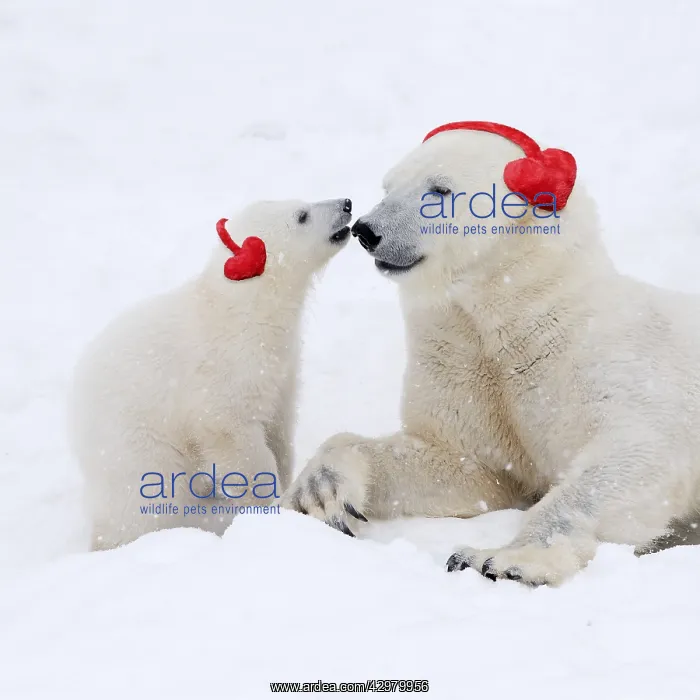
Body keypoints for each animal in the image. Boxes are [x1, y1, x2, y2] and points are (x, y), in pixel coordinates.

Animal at [71, 197, 353, 550]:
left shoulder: (282, 369)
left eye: (303, 202)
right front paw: (266, 503)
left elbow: (279, 424)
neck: (244, 310)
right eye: (302, 216)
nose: (346, 203)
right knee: (145, 495)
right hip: (132, 440)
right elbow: (232, 437)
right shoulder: (225, 372)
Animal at [282, 123, 700, 586]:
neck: (515, 313)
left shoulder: (605, 358)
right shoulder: (462, 365)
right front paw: (322, 492)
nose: (366, 230)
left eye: (440, 189)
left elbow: (635, 453)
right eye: (388, 185)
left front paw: (498, 559)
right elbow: (468, 464)